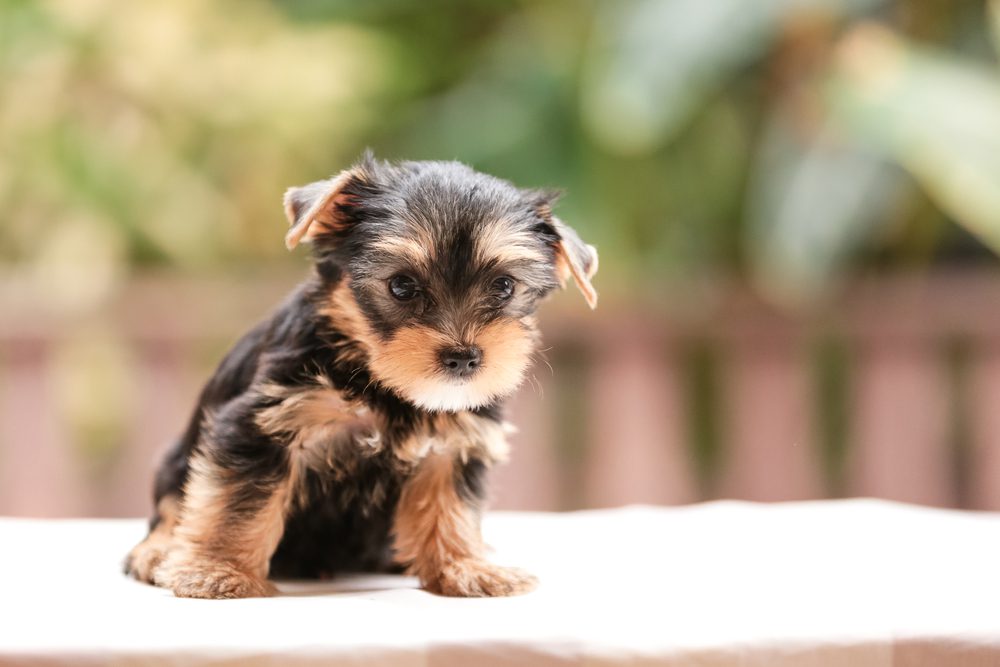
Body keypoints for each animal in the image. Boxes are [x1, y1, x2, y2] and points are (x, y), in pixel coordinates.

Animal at [123, 153, 592, 600]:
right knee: (172, 504)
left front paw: (465, 566)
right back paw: (157, 552)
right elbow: (239, 502)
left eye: (504, 286)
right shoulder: (265, 423)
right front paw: (220, 570)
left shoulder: (456, 442)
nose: (462, 358)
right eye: (401, 286)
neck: (384, 383)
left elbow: (450, 506)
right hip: (176, 460)